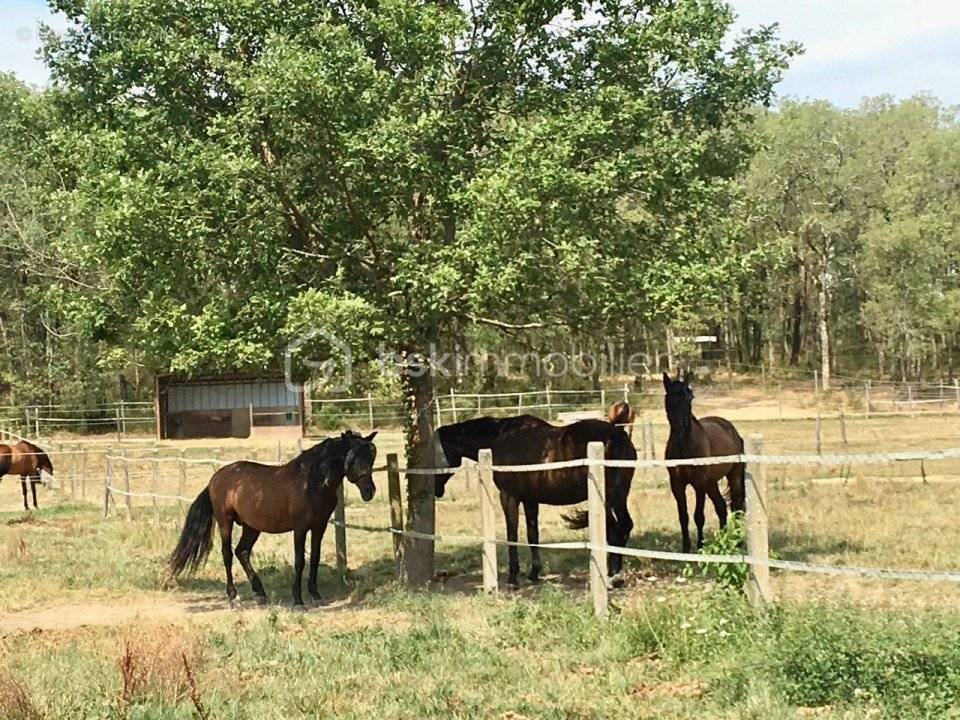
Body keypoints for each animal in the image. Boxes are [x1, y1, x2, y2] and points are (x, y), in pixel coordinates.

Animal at [167, 434, 376, 608]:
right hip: (225, 521)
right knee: (227, 554)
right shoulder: (300, 528)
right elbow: (300, 561)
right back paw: (233, 596)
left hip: (251, 527)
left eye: (371, 456)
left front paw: (316, 595)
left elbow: (315, 558)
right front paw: (298, 600)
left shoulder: (319, 526)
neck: (311, 482)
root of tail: (216, 477)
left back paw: (259, 593)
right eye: (353, 458)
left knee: (242, 552)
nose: (369, 491)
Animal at [436, 410, 636, 584]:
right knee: (624, 526)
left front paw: (513, 577)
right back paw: (615, 574)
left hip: (608, 500)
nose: (436, 491)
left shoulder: (509, 496)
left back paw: (612, 576)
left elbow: (512, 534)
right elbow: (533, 534)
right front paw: (534, 573)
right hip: (620, 497)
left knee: (614, 530)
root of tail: (617, 435)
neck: (499, 439)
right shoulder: (530, 500)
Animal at [664, 372, 748, 552]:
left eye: (690, 397)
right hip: (711, 483)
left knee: (737, 507)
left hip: (733, 476)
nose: (682, 427)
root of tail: (733, 430)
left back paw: (738, 542)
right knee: (721, 507)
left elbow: (699, 516)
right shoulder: (677, 484)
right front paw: (686, 548)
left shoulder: (699, 483)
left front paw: (700, 546)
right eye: (671, 397)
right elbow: (683, 516)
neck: (685, 446)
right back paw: (723, 542)